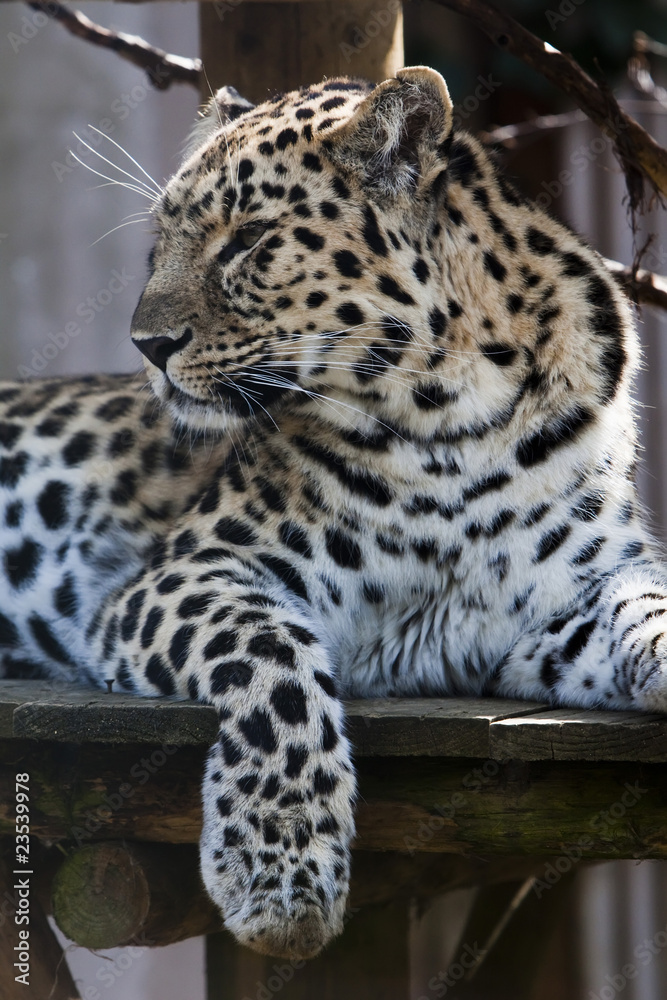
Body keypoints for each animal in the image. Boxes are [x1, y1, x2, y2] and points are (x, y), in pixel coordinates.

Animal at [2, 65, 667, 961]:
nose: (146, 346)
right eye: (158, 244)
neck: (451, 424)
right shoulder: (180, 576)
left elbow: (645, 603)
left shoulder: (545, 611)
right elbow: (276, 665)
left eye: (248, 240)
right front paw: (278, 871)